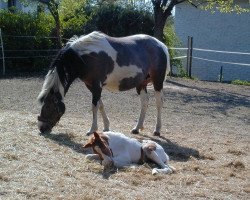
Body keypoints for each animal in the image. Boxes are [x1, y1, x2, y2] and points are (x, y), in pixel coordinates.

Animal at [37, 30, 170, 136]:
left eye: (48, 106)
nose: (41, 128)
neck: (85, 57)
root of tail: (161, 45)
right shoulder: (91, 86)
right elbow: (100, 105)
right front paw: (106, 127)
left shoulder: (97, 85)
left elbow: (94, 107)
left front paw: (92, 130)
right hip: (141, 83)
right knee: (144, 102)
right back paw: (137, 128)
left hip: (157, 82)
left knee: (159, 103)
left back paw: (157, 130)